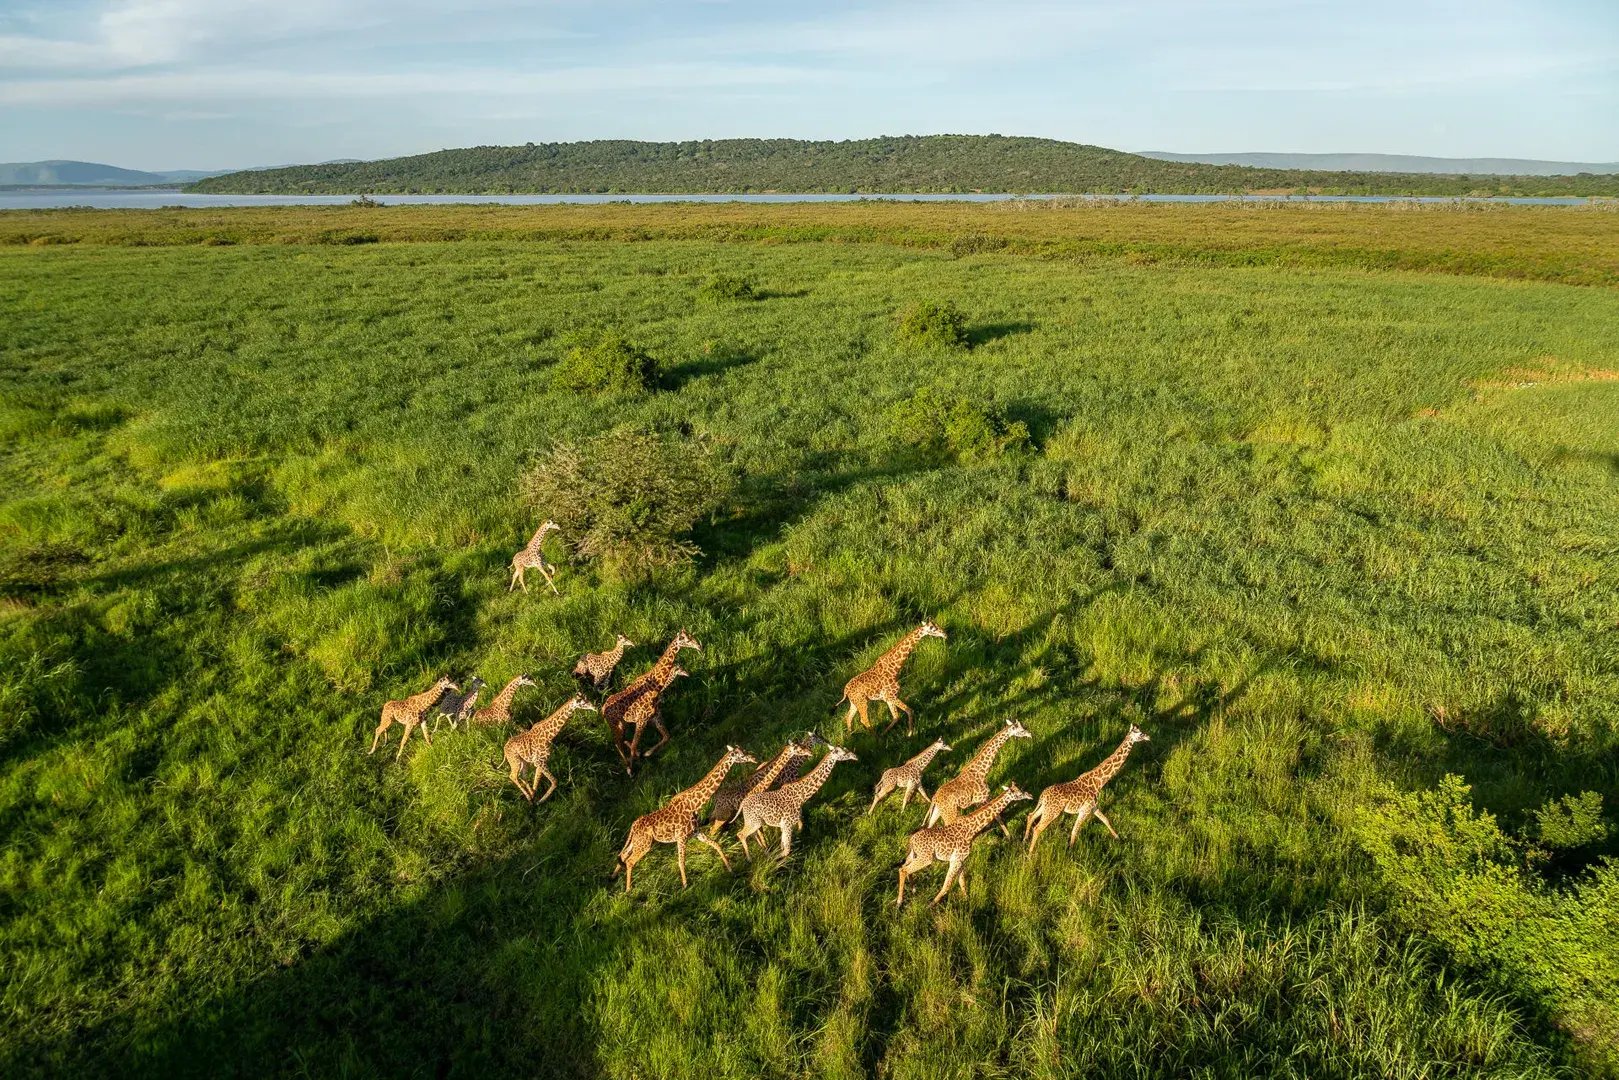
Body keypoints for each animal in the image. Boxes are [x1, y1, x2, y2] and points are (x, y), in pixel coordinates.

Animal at [599, 628, 692, 764]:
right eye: (686, 639)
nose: (688, 673)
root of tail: (602, 709)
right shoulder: (642, 719)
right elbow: (635, 744)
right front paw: (639, 756)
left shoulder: (655, 715)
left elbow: (666, 735)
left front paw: (644, 753)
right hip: (616, 724)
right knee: (617, 742)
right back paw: (629, 764)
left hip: (622, 723)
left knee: (621, 741)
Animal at [611, 744, 757, 893]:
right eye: (741, 754)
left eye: (744, 750)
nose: (754, 758)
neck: (694, 804)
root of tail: (633, 826)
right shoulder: (681, 837)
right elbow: (681, 862)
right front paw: (686, 887)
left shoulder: (696, 833)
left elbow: (717, 845)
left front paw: (731, 870)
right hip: (644, 845)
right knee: (629, 861)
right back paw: (628, 890)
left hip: (637, 842)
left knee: (623, 855)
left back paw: (615, 878)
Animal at [893, 780, 1029, 906]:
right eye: (1019, 792)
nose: (1030, 795)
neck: (972, 829)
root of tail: (911, 840)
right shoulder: (956, 859)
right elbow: (947, 885)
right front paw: (932, 904)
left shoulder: (961, 859)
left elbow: (961, 881)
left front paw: (966, 900)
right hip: (926, 858)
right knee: (903, 870)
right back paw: (899, 902)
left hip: (915, 854)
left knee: (903, 867)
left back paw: (913, 890)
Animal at [1023, 725, 1152, 854]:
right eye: (1140, 734)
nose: (1148, 737)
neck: (1099, 782)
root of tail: (1043, 795)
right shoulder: (1084, 810)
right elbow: (1075, 831)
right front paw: (1070, 852)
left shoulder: (1093, 807)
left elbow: (1105, 819)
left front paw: (1117, 837)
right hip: (1053, 812)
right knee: (1037, 828)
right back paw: (1030, 854)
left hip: (1045, 808)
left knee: (1031, 816)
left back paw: (1025, 840)